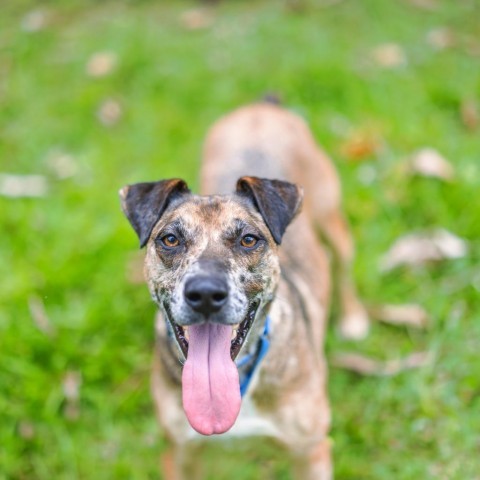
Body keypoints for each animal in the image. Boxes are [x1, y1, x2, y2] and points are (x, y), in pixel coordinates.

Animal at [119, 100, 368, 476]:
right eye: (170, 239)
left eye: (249, 239)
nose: (206, 294)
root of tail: (263, 105)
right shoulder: (179, 453)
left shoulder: (311, 452)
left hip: (332, 219)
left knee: (342, 266)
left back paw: (353, 318)